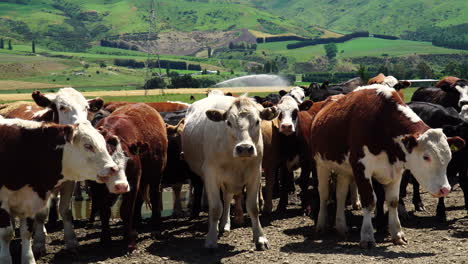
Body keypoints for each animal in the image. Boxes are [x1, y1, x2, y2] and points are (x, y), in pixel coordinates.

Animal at [91, 102, 168, 250]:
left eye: (129, 162)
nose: (121, 186)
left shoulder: (132, 182)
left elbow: (126, 210)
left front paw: (129, 240)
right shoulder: (96, 188)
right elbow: (104, 211)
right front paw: (105, 239)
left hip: (155, 176)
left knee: (155, 195)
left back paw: (155, 225)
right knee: (139, 200)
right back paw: (137, 223)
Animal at [182, 94, 278, 250]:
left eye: (257, 121)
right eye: (228, 122)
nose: (244, 148)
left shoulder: (255, 173)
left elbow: (253, 207)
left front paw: (260, 238)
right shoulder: (211, 175)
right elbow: (215, 208)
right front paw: (211, 239)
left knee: (227, 198)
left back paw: (225, 224)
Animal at [310, 85, 464, 249]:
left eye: (449, 157)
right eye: (426, 157)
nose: (445, 189)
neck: (382, 124)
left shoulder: (396, 170)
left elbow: (393, 201)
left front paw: (397, 234)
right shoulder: (361, 169)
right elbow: (369, 201)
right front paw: (367, 236)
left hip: (344, 170)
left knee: (340, 194)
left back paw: (341, 226)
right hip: (321, 164)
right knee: (324, 194)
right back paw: (321, 224)